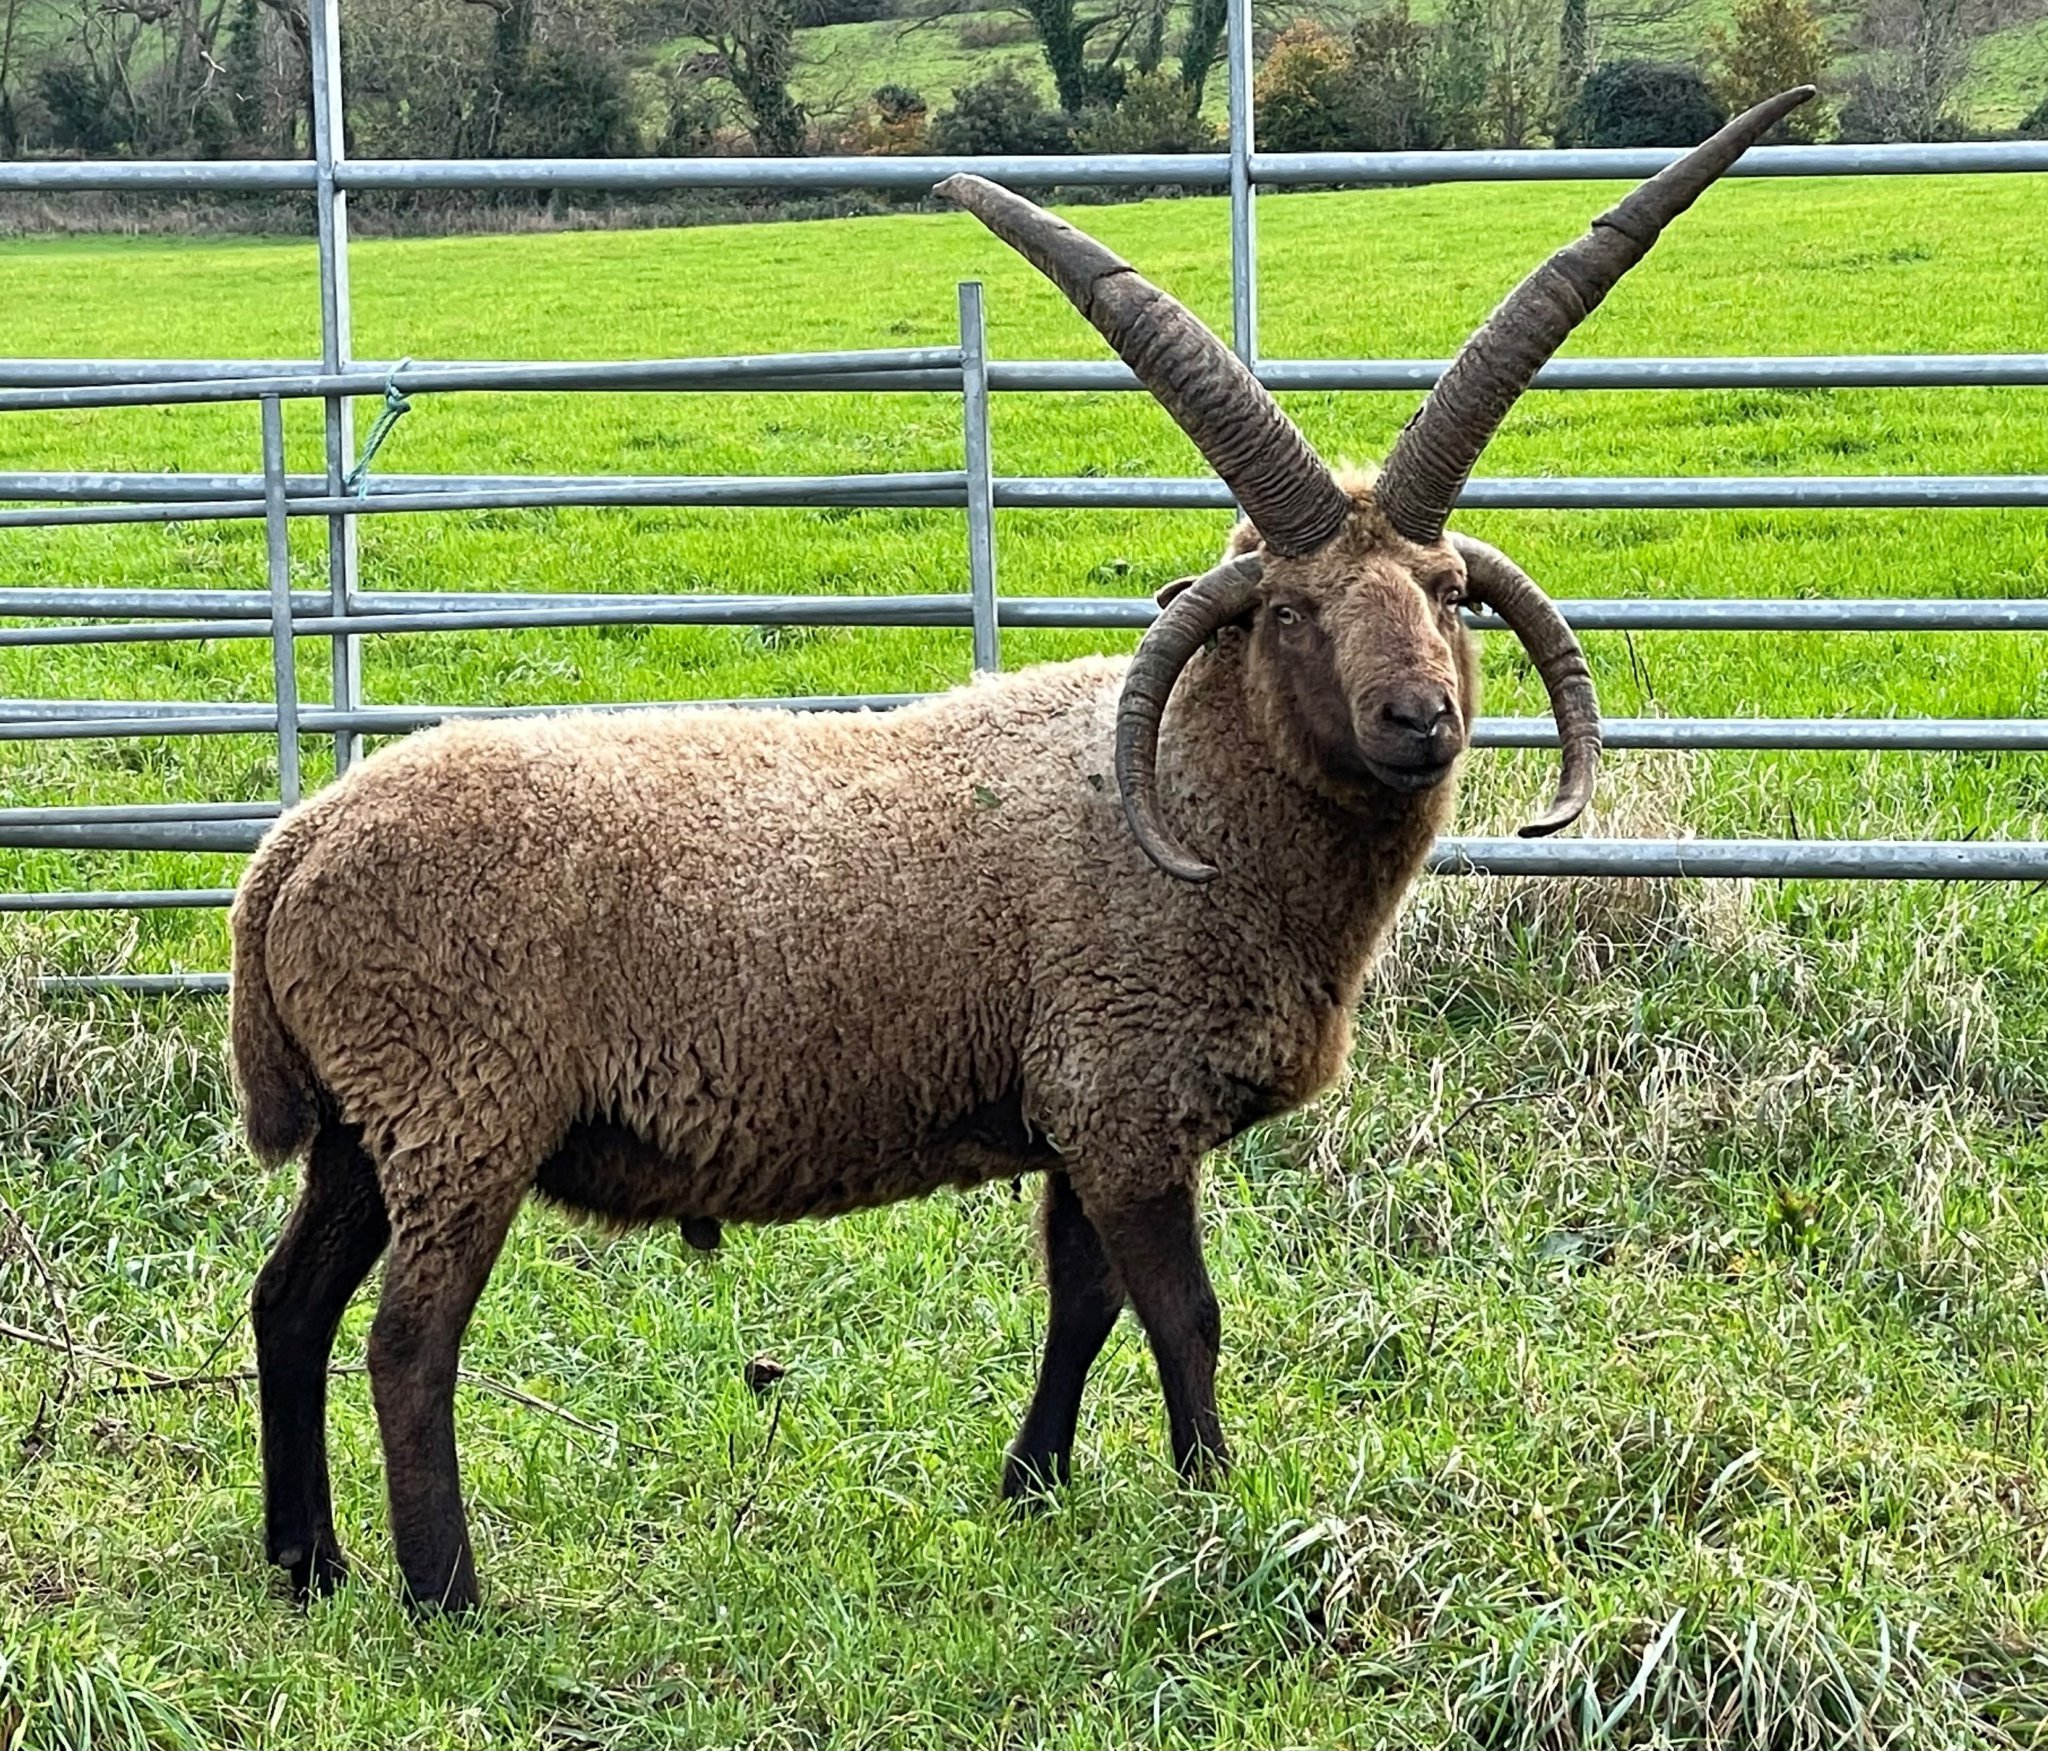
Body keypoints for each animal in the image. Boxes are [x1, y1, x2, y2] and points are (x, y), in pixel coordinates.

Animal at [233, 88, 1811, 1614]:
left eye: (1447, 595)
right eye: (1288, 610)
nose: (1419, 718)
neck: (1195, 803)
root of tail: (287, 855)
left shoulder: (1084, 1111)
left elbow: (1082, 1302)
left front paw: (1033, 1484)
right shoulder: (1123, 1093)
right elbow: (1183, 1312)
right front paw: (1213, 1498)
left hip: (370, 1125)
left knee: (287, 1304)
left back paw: (308, 1565)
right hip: (463, 1111)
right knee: (406, 1342)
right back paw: (447, 1597)